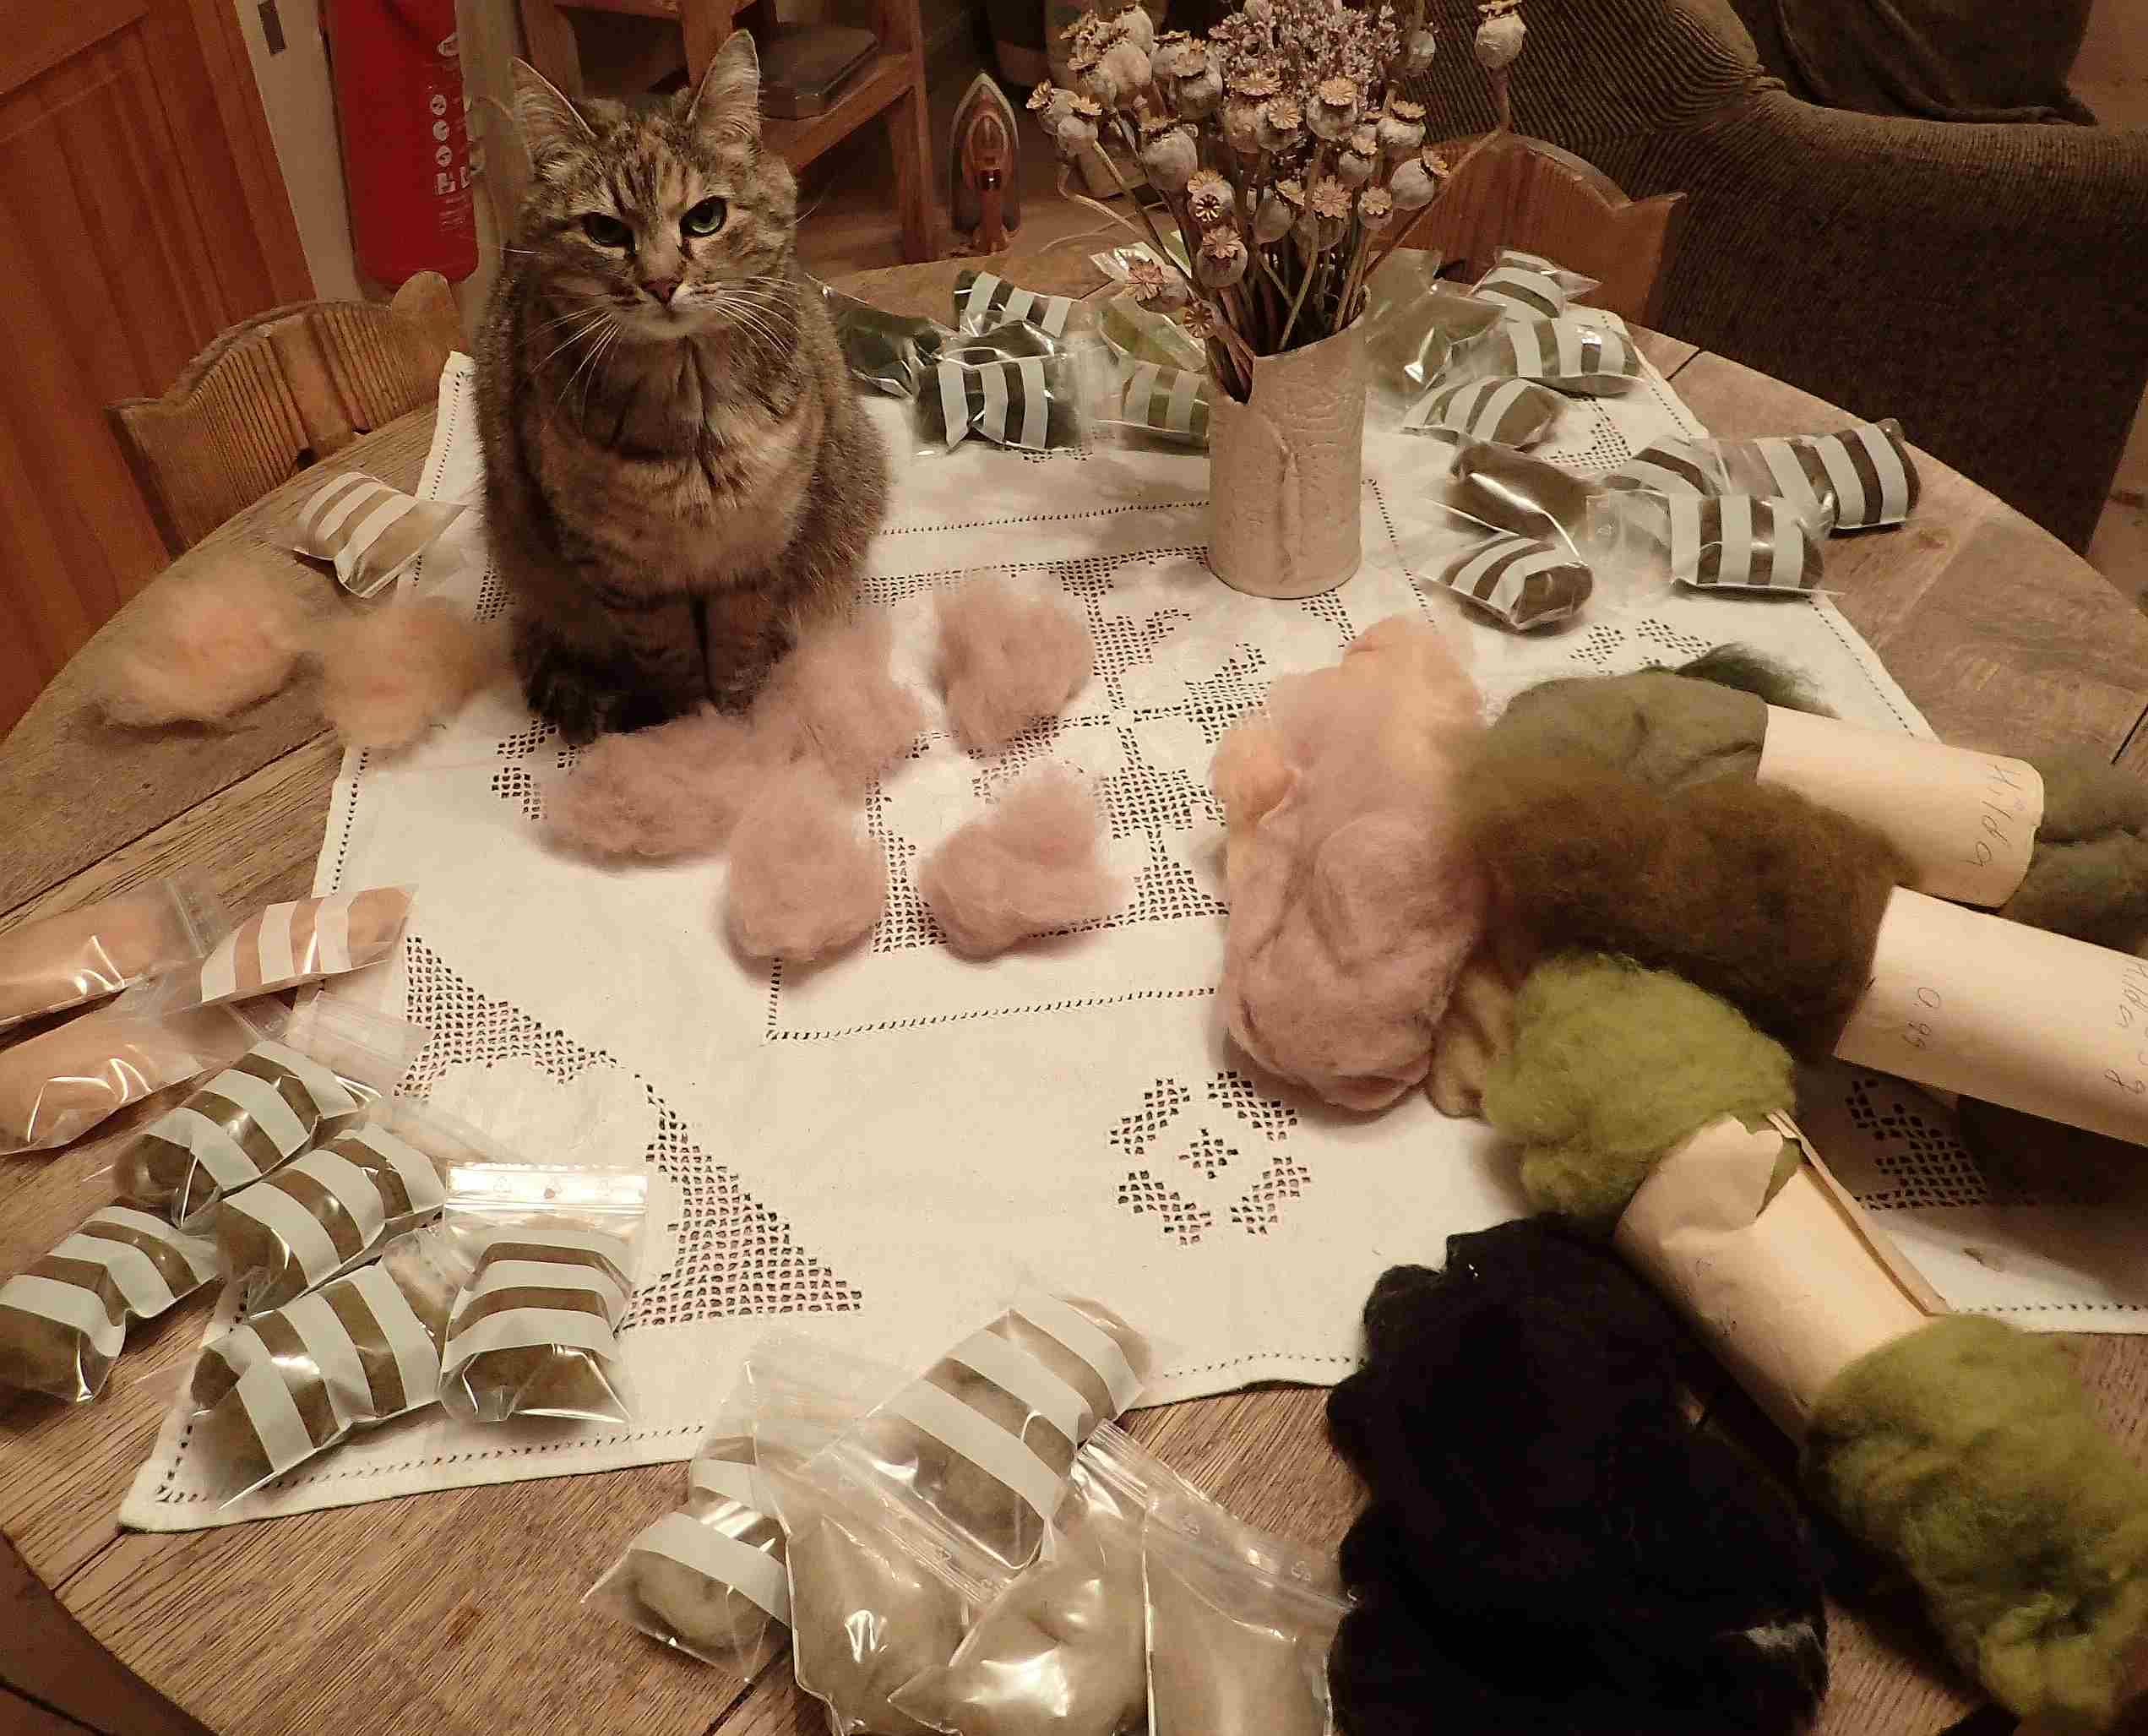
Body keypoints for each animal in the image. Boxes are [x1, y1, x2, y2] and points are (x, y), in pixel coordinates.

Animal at [477, 35, 887, 745]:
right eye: (605, 230)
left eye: (705, 217)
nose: (662, 283)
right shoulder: (630, 581)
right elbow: (672, 661)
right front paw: (694, 725)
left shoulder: (753, 555)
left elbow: (736, 655)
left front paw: (733, 719)